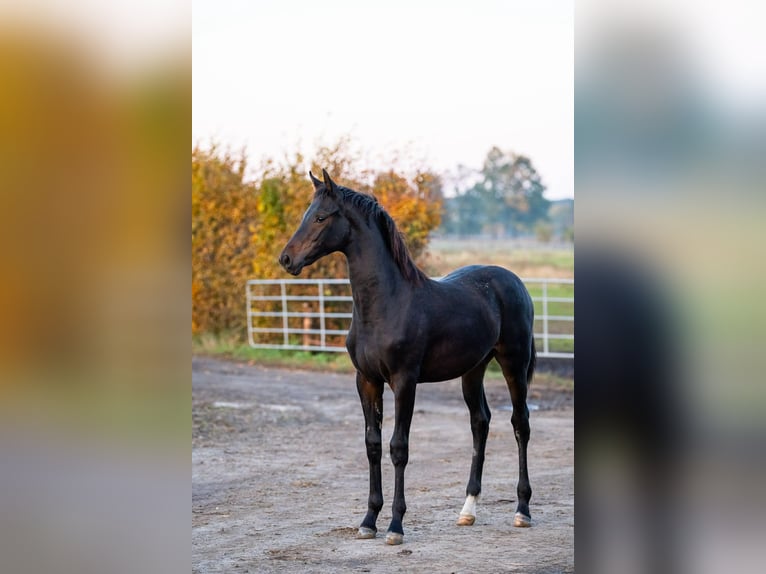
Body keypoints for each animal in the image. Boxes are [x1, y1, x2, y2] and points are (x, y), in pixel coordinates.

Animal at [279, 169, 536, 545]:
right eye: (305, 215)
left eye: (321, 217)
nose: (286, 259)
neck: (387, 302)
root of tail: (514, 281)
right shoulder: (367, 381)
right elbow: (372, 444)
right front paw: (368, 520)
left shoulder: (404, 381)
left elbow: (398, 447)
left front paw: (395, 526)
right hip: (473, 370)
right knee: (480, 423)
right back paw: (468, 510)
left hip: (513, 364)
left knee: (520, 424)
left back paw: (522, 510)